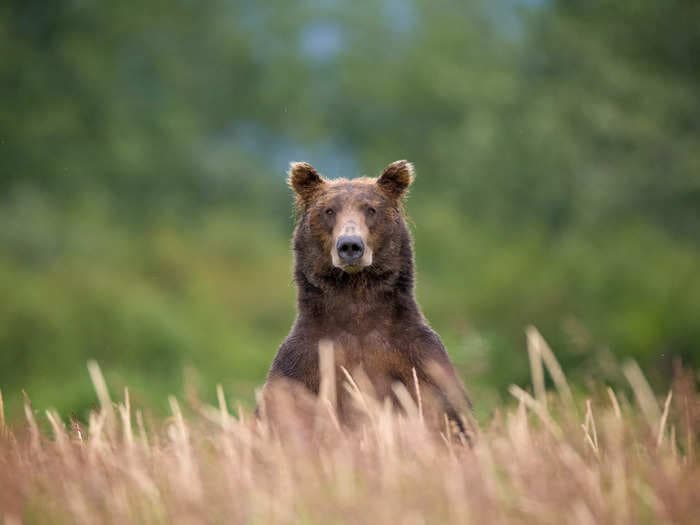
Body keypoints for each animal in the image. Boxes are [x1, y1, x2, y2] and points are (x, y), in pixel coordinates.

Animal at [262, 160, 470, 434]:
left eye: (371, 209)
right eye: (329, 210)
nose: (350, 245)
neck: (356, 298)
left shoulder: (418, 359)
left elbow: (450, 417)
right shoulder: (302, 365)